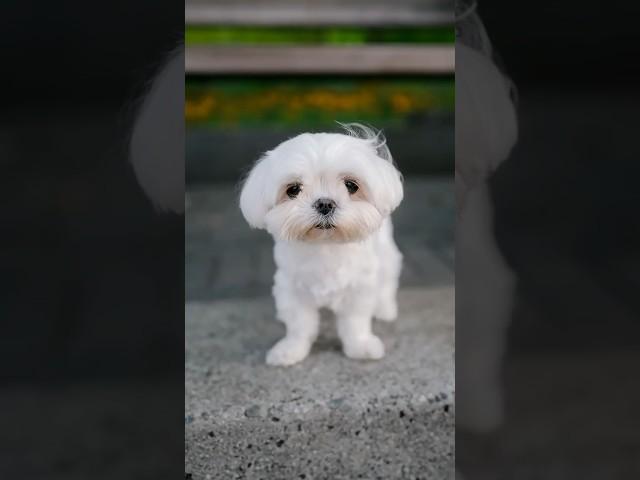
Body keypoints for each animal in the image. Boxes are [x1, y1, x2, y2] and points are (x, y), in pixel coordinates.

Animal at [238, 123, 402, 364]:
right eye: (293, 189)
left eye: (351, 186)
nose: (325, 203)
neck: (326, 246)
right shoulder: (292, 288)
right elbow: (299, 325)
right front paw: (291, 349)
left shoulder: (359, 287)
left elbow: (355, 322)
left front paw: (360, 346)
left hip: (385, 254)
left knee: (387, 279)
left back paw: (385, 308)